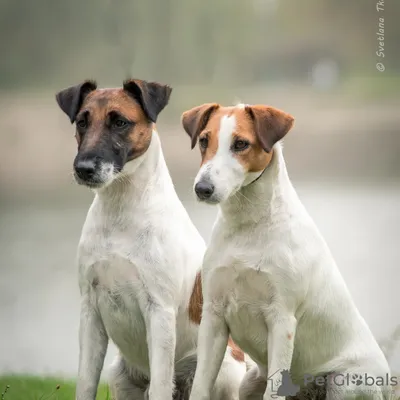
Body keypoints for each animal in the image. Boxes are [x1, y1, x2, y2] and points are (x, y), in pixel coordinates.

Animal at [54, 82, 245, 400]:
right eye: (82, 121)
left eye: (120, 122)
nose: (83, 168)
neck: (121, 211)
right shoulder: (90, 311)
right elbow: (85, 382)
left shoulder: (159, 312)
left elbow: (159, 384)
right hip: (119, 376)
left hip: (225, 372)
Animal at [183, 104, 392, 400]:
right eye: (203, 140)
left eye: (240, 144)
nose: (202, 189)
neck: (248, 227)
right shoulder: (213, 316)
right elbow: (201, 386)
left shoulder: (281, 320)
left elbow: (273, 391)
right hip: (249, 382)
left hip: (345, 382)